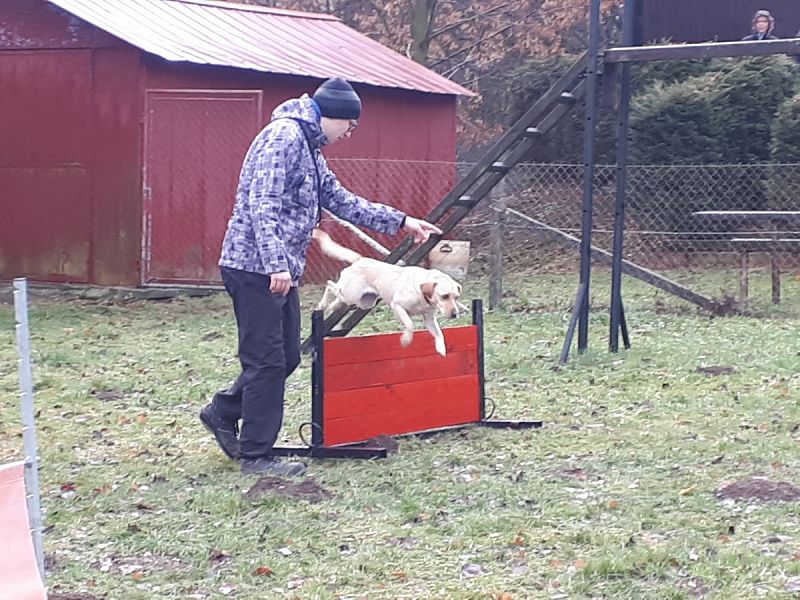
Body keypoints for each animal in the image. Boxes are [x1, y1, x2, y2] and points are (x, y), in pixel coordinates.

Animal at [310, 227, 462, 354]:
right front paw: (405, 341)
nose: (455, 314)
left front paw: (441, 349)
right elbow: (410, 325)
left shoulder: (429, 319)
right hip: (350, 294)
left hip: (362, 302)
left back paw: (331, 306)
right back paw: (322, 304)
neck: (421, 294)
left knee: (337, 299)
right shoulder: (397, 305)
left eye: (456, 297)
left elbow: (439, 333)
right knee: (329, 285)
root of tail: (360, 259)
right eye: (444, 296)